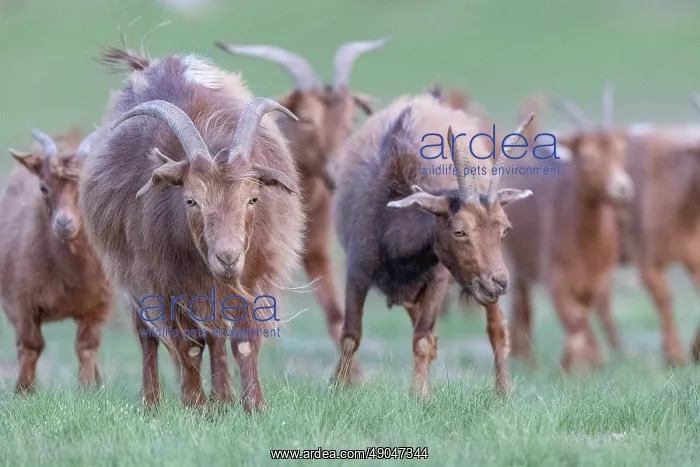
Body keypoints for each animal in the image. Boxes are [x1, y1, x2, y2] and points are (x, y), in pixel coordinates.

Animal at [2, 129, 113, 393]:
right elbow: (31, 345)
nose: (64, 223)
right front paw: (24, 391)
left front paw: (88, 389)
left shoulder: (98, 306)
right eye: (43, 187)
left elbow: (86, 346)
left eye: (84, 186)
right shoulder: (21, 303)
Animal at [80, 47, 304, 412]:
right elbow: (188, 345)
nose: (227, 257)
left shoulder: (255, 275)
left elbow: (241, 340)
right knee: (148, 336)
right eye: (191, 200)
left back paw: (223, 398)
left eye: (253, 198)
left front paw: (252, 405)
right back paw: (154, 402)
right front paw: (195, 405)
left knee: (215, 334)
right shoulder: (164, 283)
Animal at [215, 38, 390, 380]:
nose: (338, 172)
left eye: (351, 119)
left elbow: (336, 314)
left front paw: (350, 380)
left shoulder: (317, 250)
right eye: (306, 117)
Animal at [330, 94, 534, 396]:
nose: (498, 282)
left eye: (504, 229)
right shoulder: (357, 271)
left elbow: (423, 337)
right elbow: (350, 335)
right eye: (459, 231)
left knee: (495, 328)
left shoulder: (438, 278)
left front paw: (419, 394)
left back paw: (503, 392)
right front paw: (338, 387)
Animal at [504, 83, 634, 371]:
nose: (622, 187)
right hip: (513, 261)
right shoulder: (557, 278)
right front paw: (576, 365)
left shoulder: (597, 280)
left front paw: (588, 362)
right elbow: (574, 319)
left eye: (621, 152)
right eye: (587, 157)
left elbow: (586, 315)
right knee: (521, 305)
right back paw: (524, 358)